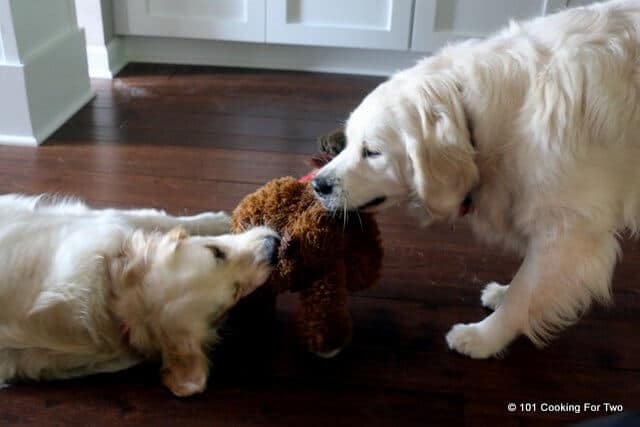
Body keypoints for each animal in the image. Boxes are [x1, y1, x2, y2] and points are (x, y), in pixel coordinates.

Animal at [0, 196, 280, 396]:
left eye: (234, 292)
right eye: (216, 252)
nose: (274, 248)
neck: (113, 297)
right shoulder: (99, 220)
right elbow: (154, 217)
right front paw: (219, 218)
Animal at [312, 0, 640, 360]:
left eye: (372, 152)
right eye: (348, 141)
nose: (317, 185)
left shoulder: (570, 230)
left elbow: (524, 293)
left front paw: (484, 337)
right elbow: (529, 279)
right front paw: (503, 294)